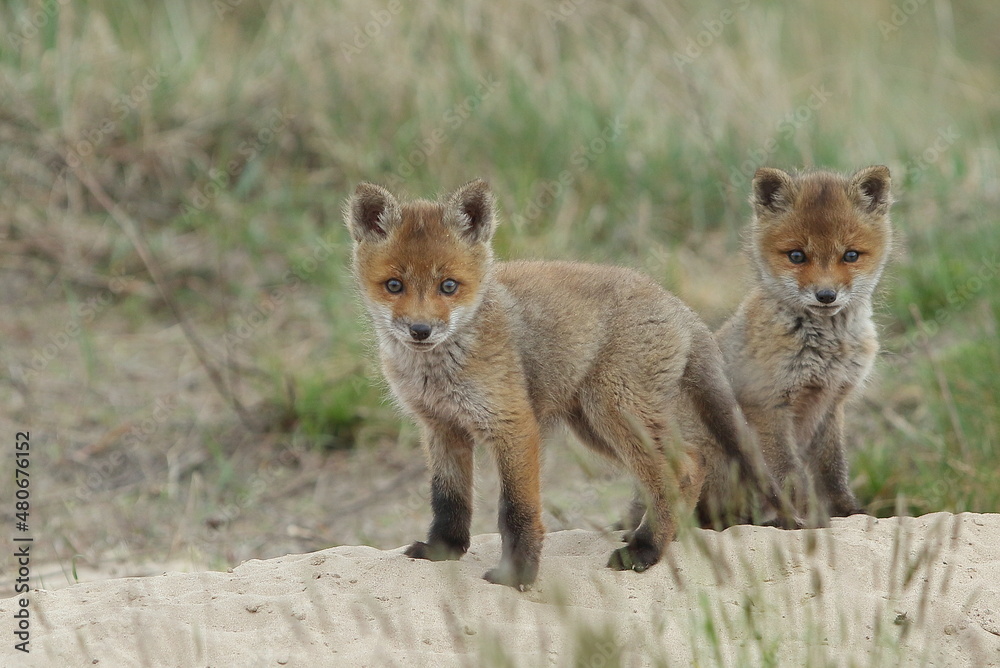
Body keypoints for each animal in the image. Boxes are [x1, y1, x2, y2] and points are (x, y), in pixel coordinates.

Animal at [346, 179, 785, 589]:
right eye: (394, 286)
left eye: (448, 286)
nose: (420, 330)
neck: (436, 371)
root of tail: (676, 303)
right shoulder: (441, 427)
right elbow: (448, 499)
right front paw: (444, 550)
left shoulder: (514, 425)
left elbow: (517, 511)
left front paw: (517, 574)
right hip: (595, 428)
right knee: (687, 464)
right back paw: (662, 536)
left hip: (614, 412)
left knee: (684, 469)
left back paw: (646, 549)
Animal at [697, 165, 893, 527]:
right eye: (797, 256)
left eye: (851, 255)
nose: (826, 295)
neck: (826, 351)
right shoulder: (768, 404)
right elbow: (790, 476)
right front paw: (797, 521)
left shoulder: (831, 403)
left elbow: (832, 473)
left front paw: (847, 512)